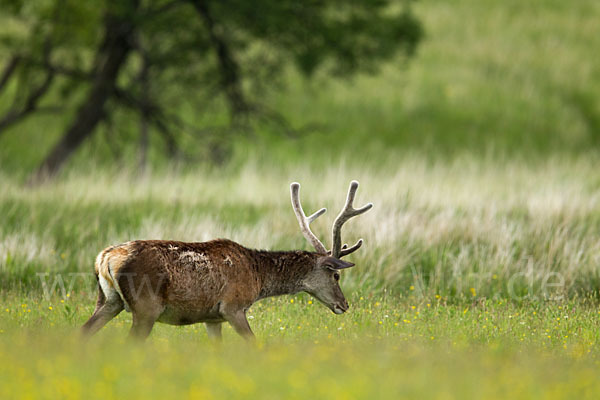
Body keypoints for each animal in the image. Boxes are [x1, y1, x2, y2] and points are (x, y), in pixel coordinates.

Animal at [79, 181, 370, 340]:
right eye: (336, 275)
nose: (344, 305)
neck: (258, 277)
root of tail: (105, 257)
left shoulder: (212, 318)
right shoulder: (233, 306)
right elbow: (253, 343)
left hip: (108, 300)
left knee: (81, 333)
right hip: (145, 306)